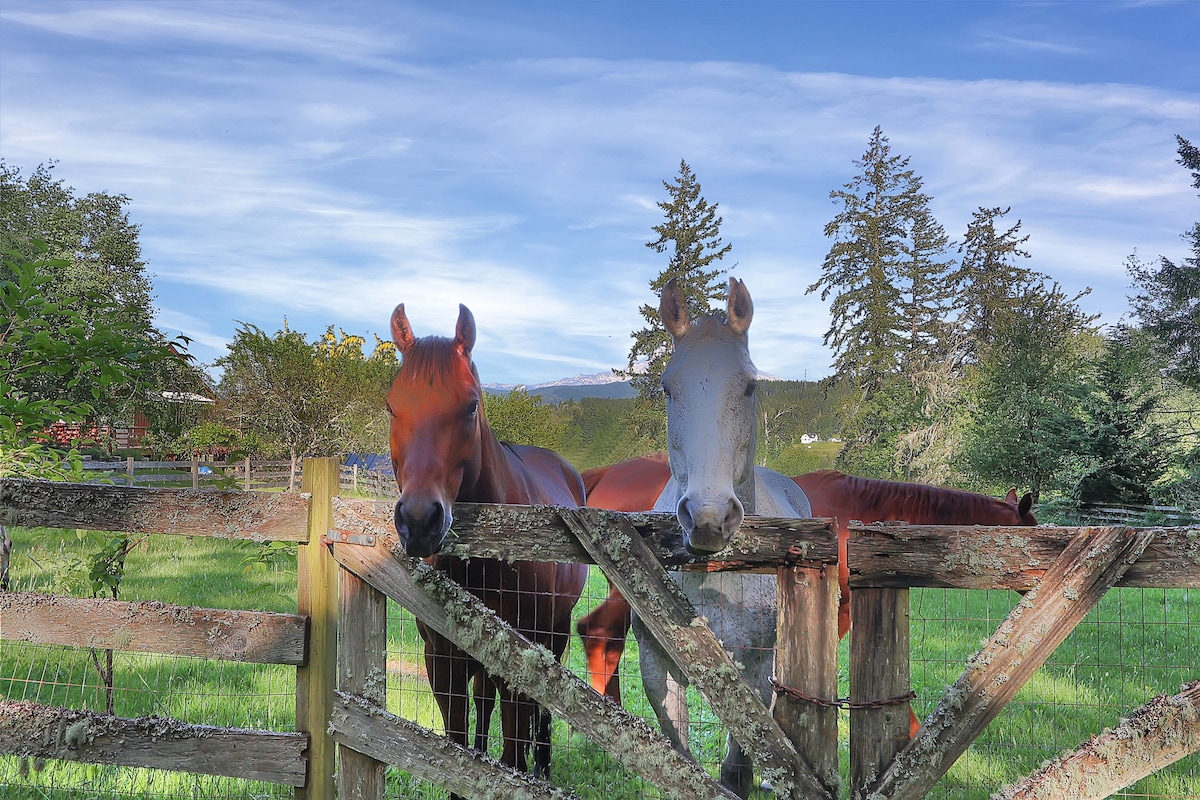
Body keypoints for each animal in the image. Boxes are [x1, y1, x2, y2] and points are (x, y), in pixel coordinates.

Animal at [386, 303, 588, 791]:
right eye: (391, 406)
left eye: (471, 405)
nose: (418, 521)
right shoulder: (443, 660)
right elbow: (458, 748)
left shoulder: (520, 662)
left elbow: (514, 749)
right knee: (485, 700)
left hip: (554, 635)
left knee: (542, 711)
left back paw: (543, 767)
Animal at [628, 278, 816, 796]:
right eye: (668, 387)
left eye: (750, 385)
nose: (708, 516)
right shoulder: (657, 664)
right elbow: (680, 755)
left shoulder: (755, 669)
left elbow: (739, 764)